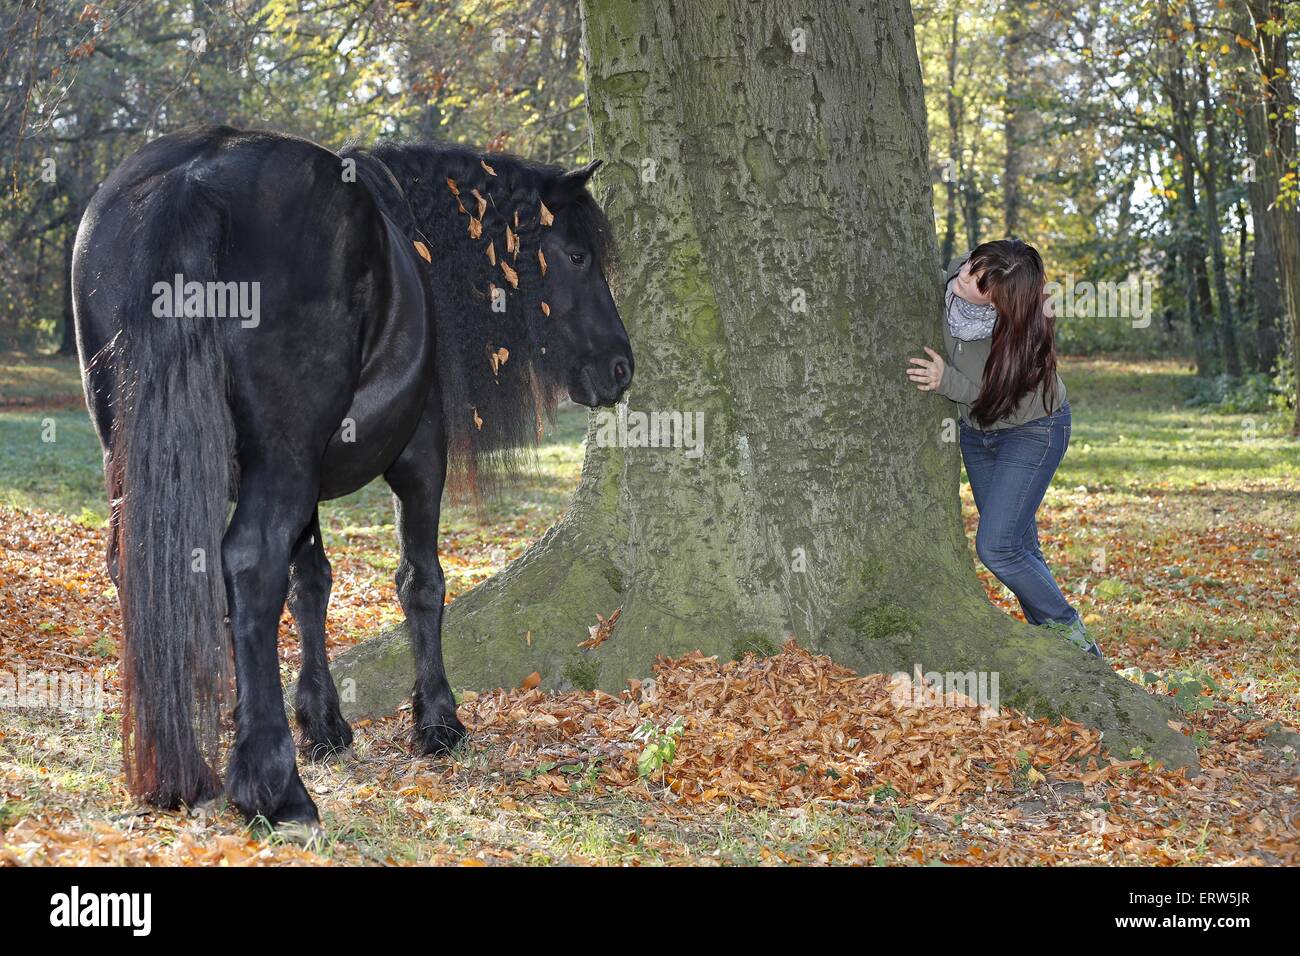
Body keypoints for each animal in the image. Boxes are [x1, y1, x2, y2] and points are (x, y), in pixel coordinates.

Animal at [72, 125, 633, 825]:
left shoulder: (306, 477)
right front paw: (437, 720)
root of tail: (195, 175)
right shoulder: (418, 458)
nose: (622, 366)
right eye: (578, 256)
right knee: (249, 562)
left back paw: (184, 762)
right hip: (282, 457)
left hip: (136, 453)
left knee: (148, 564)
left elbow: (310, 583)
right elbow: (420, 581)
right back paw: (273, 784)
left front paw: (322, 721)